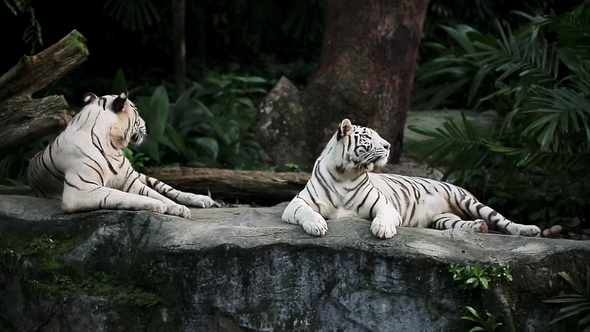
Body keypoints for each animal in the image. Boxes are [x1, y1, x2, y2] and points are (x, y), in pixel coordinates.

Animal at [27, 92, 216, 219]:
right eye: (137, 113)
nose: (146, 124)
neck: (113, 146)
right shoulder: (80, 190)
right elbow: (122, 195)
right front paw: (156, 205)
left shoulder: (131, 181)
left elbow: (158, 194)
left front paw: (179, 208)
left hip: (141, 176)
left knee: (169, 189)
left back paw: (202, 199)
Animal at [284, 119, 544, 239]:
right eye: (369, 137)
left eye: (380, 136)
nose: (388, 145)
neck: (346, 173)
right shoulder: (295, 204)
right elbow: (306, 212)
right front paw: (317, 225)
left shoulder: (385, 204)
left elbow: (384, 216)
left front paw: (383, 229)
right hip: (443, 219)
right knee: (462, 224)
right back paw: (478, 227)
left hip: (469, 202)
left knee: (503, 221)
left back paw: (529, 230)